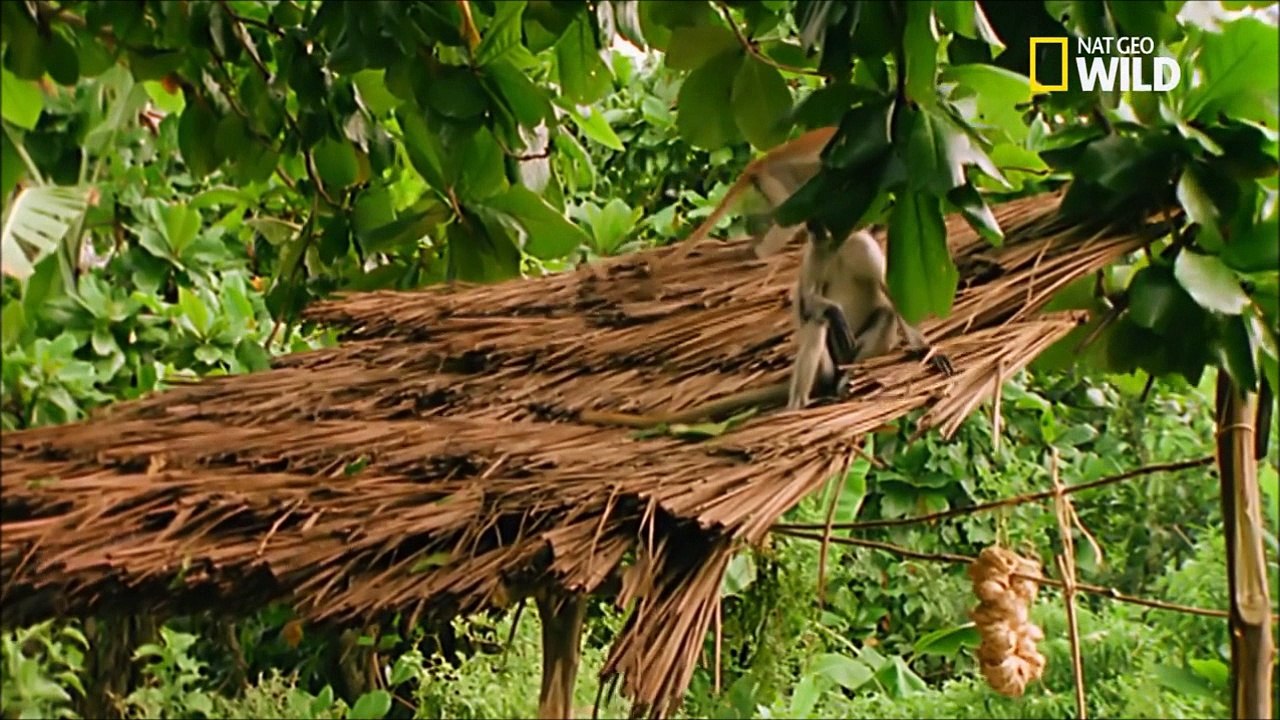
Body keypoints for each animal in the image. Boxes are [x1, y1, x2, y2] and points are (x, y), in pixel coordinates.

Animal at [578, 225, 953, 430]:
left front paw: (926, 350)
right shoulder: (815, 253)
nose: (815, 226)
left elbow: (895, 297)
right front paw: (828, 310)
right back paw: (801, 402)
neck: (836, 248)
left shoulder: (859, 245)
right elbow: (808, 305)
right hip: (826, 362)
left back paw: (844, 382)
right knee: (818, 324)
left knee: (882, 316)